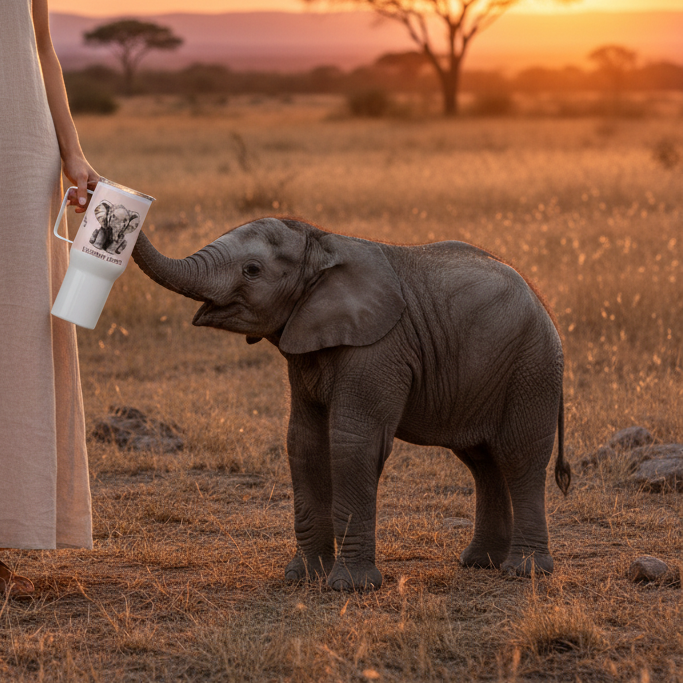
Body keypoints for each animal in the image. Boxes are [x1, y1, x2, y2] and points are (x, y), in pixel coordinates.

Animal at [132, 217, 571, 591]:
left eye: (252, 270)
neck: (322, 243)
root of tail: (544, 304)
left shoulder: (379, 348)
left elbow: (352, 443)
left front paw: (349, 587)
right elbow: (303, 443)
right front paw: (302, 578)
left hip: (531, 367)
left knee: (519, 455)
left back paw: (523, 571)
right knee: (481, 461)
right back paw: (479, 563)